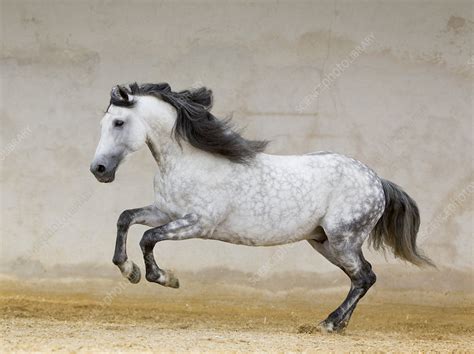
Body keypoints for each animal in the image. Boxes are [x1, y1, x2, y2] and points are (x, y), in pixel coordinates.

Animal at [90, 82, 434, 332]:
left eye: (119, 122)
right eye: (103, 122)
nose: (99, 169)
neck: (189, 162)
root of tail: (376, 179)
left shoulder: (197, 223)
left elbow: (147, 238)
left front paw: (164, 278)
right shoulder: (165, 212)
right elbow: (125, 219)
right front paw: (129, 270)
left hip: (343, 240)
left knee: (364, 277)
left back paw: (329, 323)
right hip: (324, 242)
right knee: (361, 277)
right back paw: (339, 324)